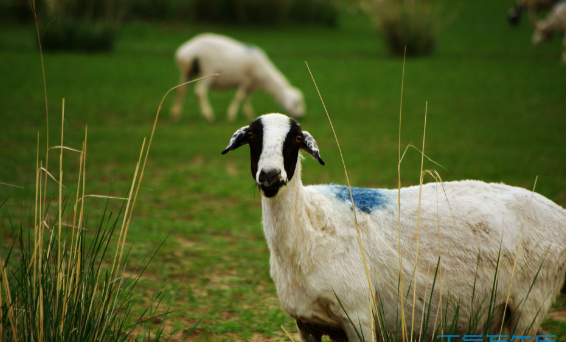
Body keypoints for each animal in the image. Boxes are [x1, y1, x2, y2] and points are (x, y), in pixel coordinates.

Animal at [171, 32, 306, 123]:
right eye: (296, 103)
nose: (301, 116)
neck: (264, 79)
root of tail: (186, 52)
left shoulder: (250, 83)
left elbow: (247, 98)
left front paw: (249, 114)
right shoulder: (246, 80)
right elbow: (239, 97)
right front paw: (231, 115)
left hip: (187, 72)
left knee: (180, 90)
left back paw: (176, 114)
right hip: (207, 70)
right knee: (199, 92)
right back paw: (208, 115)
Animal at [221, 113, 566, 342]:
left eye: (294, 139)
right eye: (252, 137)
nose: (269, 176)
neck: (310, 225)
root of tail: (558, 212)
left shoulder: (359, 315)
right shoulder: (307, 324)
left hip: (531, 302)